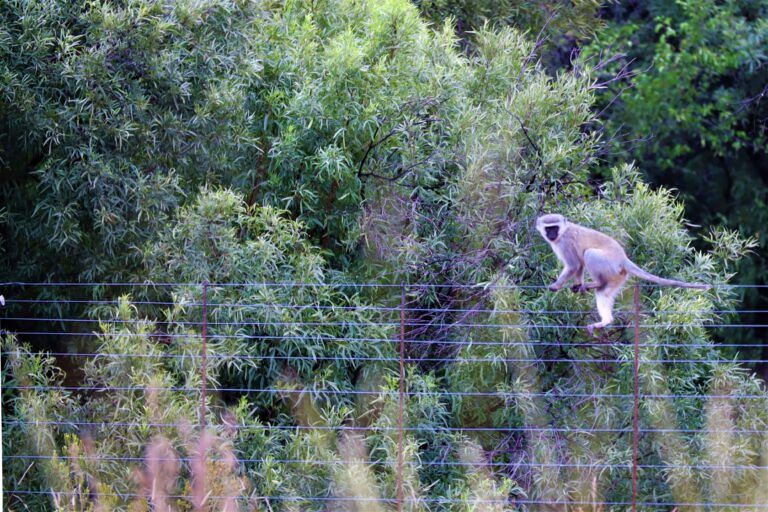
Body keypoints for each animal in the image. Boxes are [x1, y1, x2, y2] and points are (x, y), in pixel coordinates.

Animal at [536, 214, 708, 334]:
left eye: (554, 227)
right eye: (548, 228)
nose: (551, 234)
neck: (563, 232)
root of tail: (623, 258)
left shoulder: (565, 243)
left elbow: (574, 265)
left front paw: (556, 286)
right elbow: (579, 266)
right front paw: (577, 284)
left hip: (609, 265)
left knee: (589, 254)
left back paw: (597, 283)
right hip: (617, 277)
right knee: (603, 292)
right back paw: (605, 320)